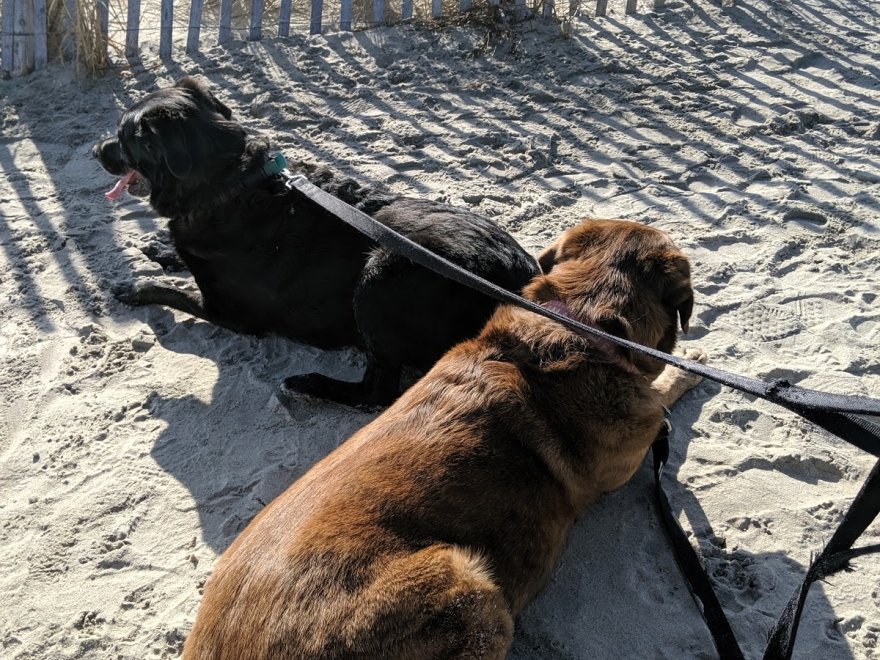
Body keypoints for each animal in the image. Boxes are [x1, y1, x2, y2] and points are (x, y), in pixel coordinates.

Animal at [93, 78, 540, 408]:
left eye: (122, 136)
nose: (96, 150)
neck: (229, 182)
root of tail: (521, 282)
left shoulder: (231, 314)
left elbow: (172, 290)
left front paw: (134, 287)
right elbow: (177, 263)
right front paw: (160, 251)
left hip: (380, 277)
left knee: (379, 392)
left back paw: (312, 385)